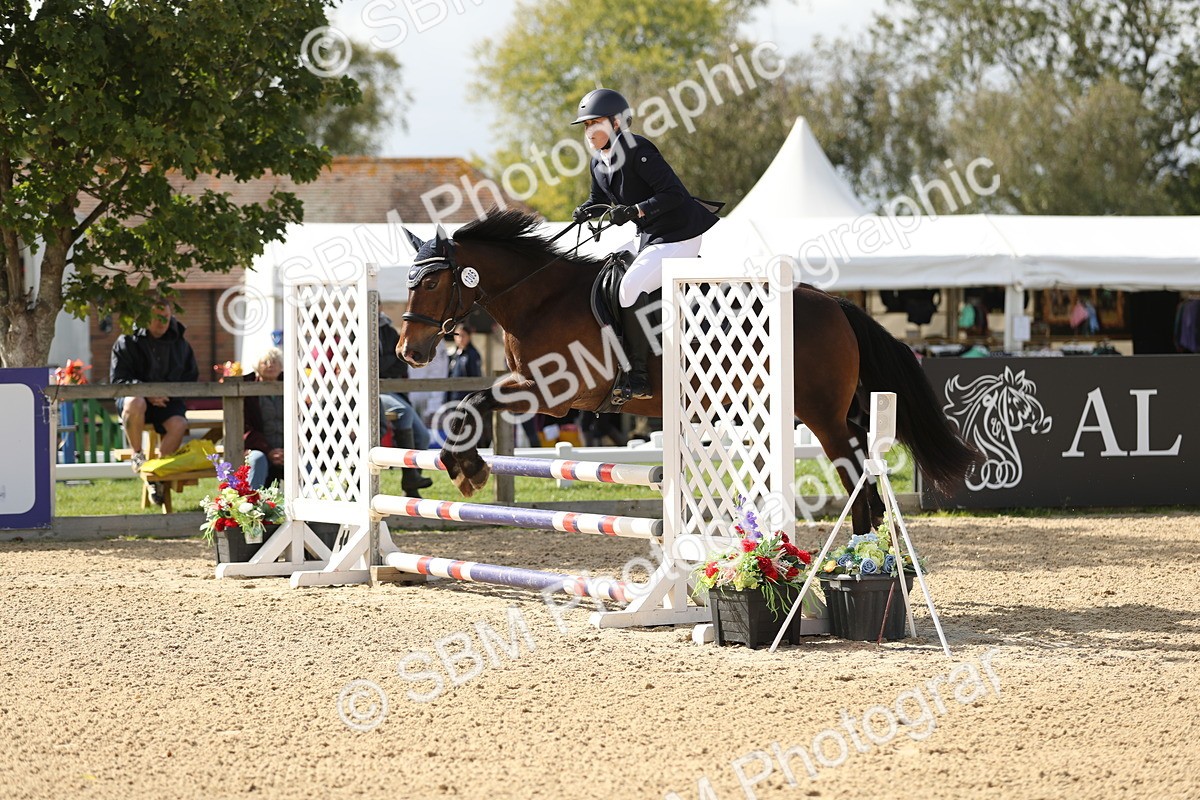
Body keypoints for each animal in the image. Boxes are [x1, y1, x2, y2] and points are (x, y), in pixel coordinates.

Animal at [397, 209, 977, 535]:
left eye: (431, 283)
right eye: (410, 282)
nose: (407, 351)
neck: (539, 299)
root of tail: (832, 302)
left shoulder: (555, 394)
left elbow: (469, 405)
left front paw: (467, 469)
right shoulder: (538, 390)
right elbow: (470, 404)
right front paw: (461, 465)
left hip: (818, 413)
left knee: (851, 465)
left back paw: (858, 550)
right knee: (860, 457)